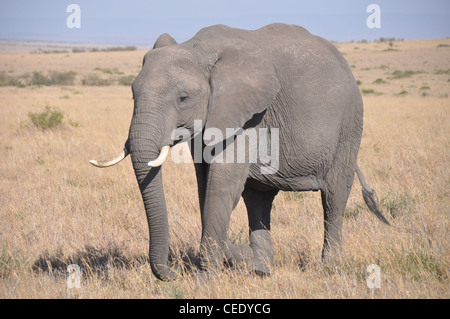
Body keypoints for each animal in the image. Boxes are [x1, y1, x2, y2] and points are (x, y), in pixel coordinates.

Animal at [89, 23, 388, 282]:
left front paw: (205, 280)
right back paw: (262, 269)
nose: (173, 273)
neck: (198, 49)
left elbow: (221, 185)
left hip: (349, 124)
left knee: (334, 196)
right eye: (132, 95)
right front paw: (234, 258)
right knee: (258, 200)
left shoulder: (249, 115)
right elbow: (205, 186)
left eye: (183, 98)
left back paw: (329, 267)